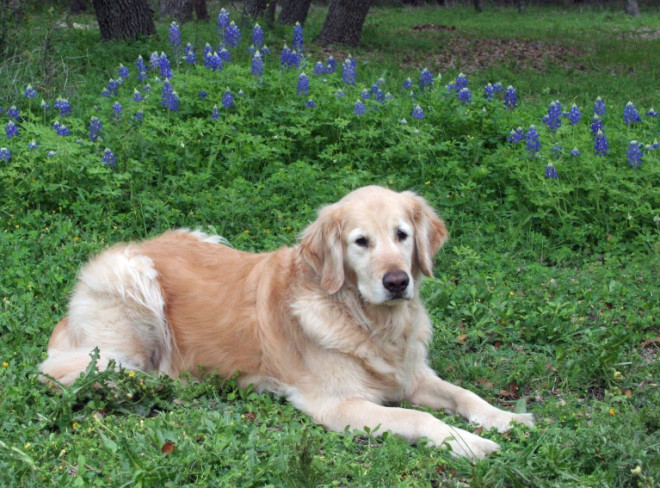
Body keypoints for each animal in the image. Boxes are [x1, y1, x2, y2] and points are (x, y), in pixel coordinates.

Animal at [41, 186, 532, 458]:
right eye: (360, 242)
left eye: (402, 235)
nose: (397, 282)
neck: (369, 323)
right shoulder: (339, 405)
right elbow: (419, 418)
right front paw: (468, 444)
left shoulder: (412, 375)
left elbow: (464, 395)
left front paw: (506, 417)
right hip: (130, 278)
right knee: (78, 373)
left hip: (202, 235)